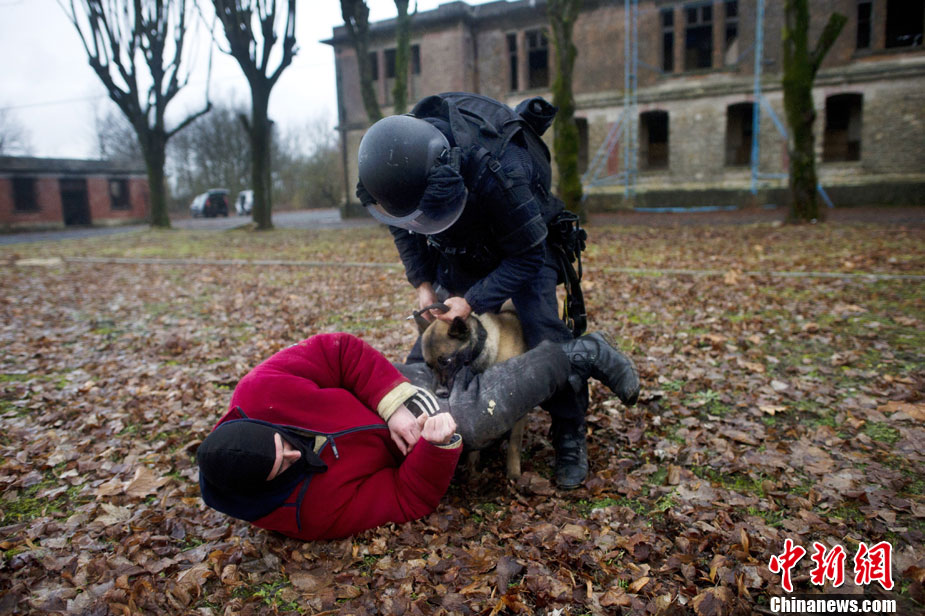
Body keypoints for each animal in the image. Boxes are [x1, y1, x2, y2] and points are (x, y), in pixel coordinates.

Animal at [414, 300, 528, 478]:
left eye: (446, 361)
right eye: (429, 365)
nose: (439, 394)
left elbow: (515, 443)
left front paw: (513, 472)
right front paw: (473, 472)